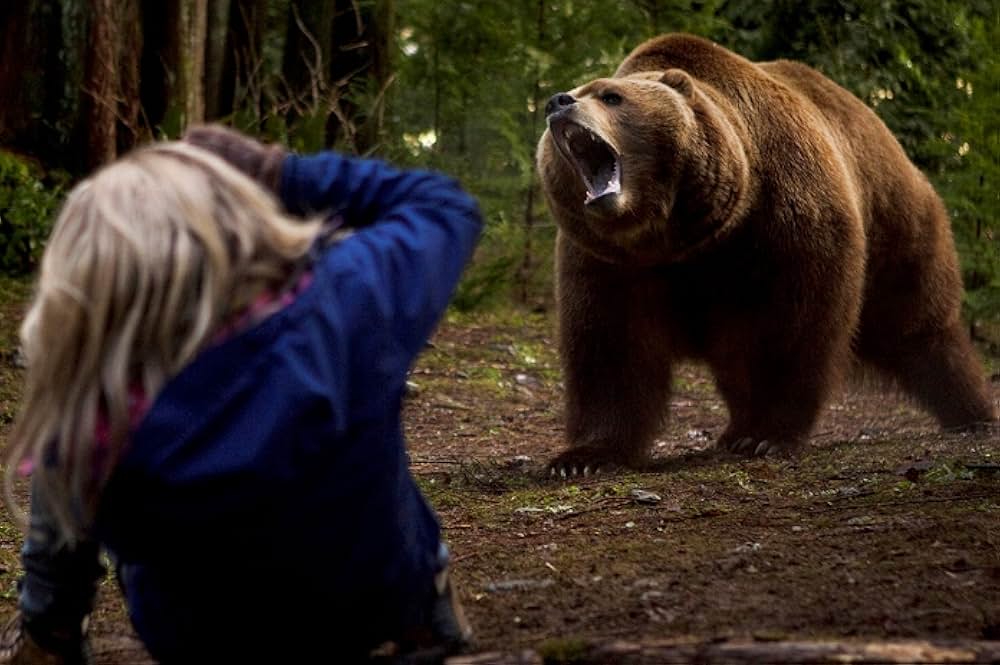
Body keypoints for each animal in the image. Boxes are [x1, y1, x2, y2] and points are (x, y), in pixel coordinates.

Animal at [536, 33, 996, 474]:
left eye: (611, 95)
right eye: (577, 90)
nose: (557, 102)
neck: (679, 236)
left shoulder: (783, 222)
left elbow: (790, 329)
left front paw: (765, 436)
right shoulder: (609, 263)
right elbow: (610, 350)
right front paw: (582, 457)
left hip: (895, 223)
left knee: (919, 325)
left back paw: (972, 413)